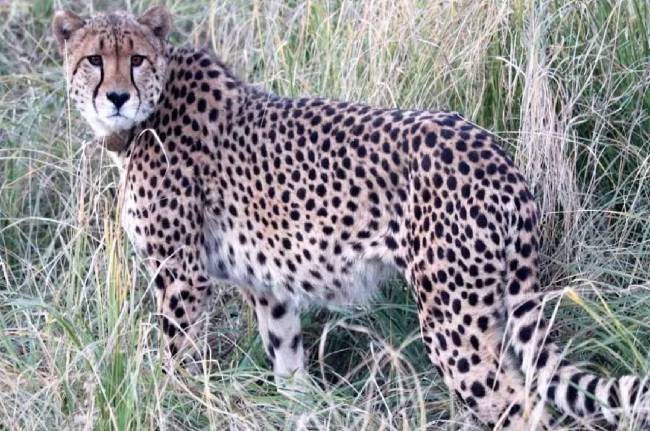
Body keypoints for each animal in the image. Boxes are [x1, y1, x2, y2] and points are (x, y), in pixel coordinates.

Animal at [52, 6, 649, 429]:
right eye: (93, 60)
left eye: (136, 59)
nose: (117, 97)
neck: (144, 119)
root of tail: (495, 153)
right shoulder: (267, 283)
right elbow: (287, 360)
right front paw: (297, 410)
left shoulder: (180, 274)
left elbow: (176, 356)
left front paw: (171, 400)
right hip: (490, 308)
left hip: (452, 320)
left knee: (516, 406)